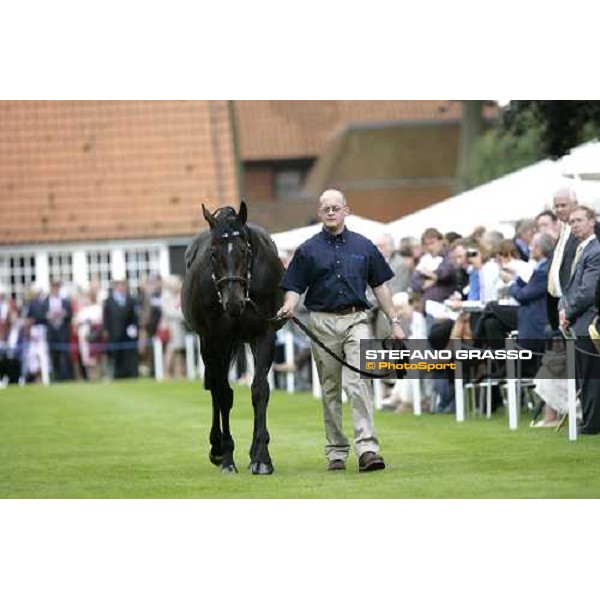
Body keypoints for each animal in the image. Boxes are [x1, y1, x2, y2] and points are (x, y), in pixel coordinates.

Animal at [180, 202, 284, 474]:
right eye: (213, 253)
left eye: (245, 250)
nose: (234, 302)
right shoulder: (217, 340)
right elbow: (223, 394)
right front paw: (226, 456)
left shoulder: (264, 335)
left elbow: (260, 390)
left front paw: (261, 457)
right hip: (210, 346)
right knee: (215, 389)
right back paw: (217, 448)